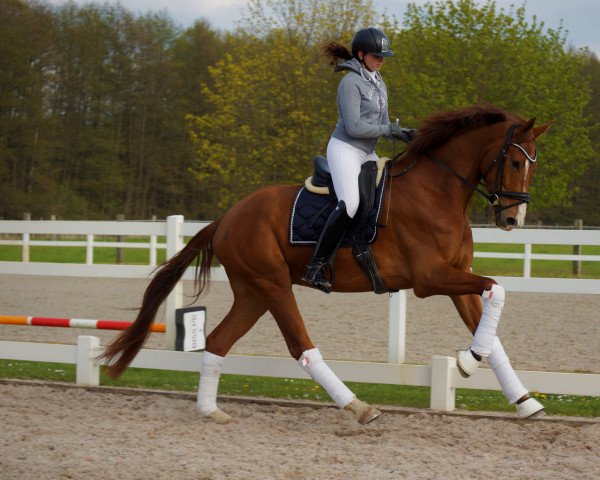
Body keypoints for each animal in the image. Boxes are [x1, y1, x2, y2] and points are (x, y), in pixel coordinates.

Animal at [101, 105, 552, 424]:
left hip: (254, 292)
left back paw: (210, 411)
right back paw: (359, 407)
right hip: (274, 286)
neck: (437, 191)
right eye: (515, 162)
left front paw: (522, 400)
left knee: (217, 341)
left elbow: (492, 323)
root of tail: (227, 217)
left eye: (534, 163)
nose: (513, 220)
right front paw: (465, 362)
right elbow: (497, 291)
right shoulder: (431, 279)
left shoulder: (458, 279)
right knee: (301, 347)